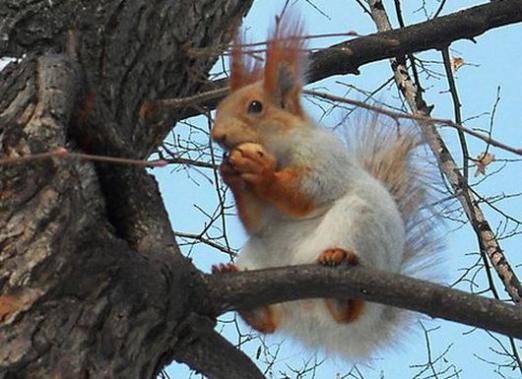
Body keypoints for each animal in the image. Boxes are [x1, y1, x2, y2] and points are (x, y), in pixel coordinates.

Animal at [210, 14, 434, 360]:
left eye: (256, 106)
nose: (217, 135)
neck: (280, 151)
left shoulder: (324, 159)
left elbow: (306, 193)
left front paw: (261, 173)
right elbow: (257, 220)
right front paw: (231, 174)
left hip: (357, 224)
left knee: (348, 309)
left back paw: (339, 274)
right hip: (256, 256)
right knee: (271, 323)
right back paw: (253, 307)